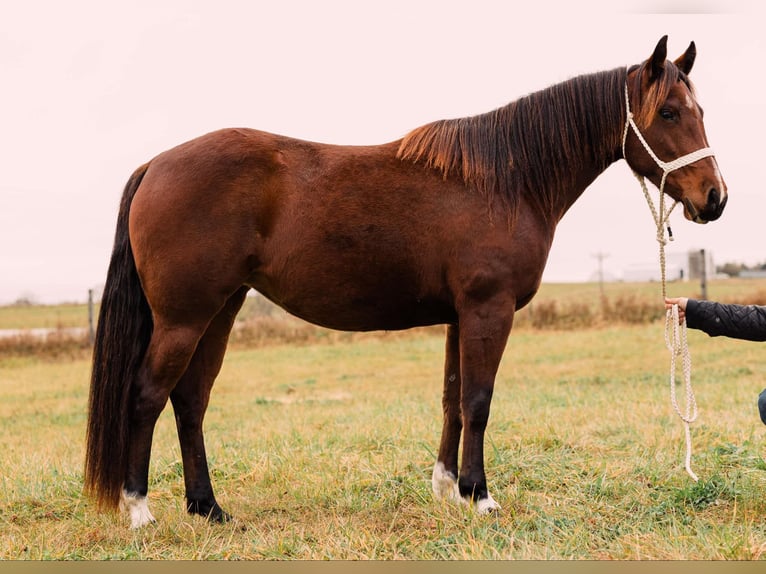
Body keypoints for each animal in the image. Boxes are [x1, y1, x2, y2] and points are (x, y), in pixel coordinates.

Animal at [84, 37, 728, 532]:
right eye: (669, 113)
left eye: (699, 110)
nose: (715, 199)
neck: (507, 180)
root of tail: (156, 165)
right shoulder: (488, 310)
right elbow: (478, 400)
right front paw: (482, 497)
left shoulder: (460, 316)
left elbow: (452, 399)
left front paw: (449, 488)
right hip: (184, 318)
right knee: (146, 396)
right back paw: (139, 510)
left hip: (220, 311)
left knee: (190, 401)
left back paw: (209, 508)